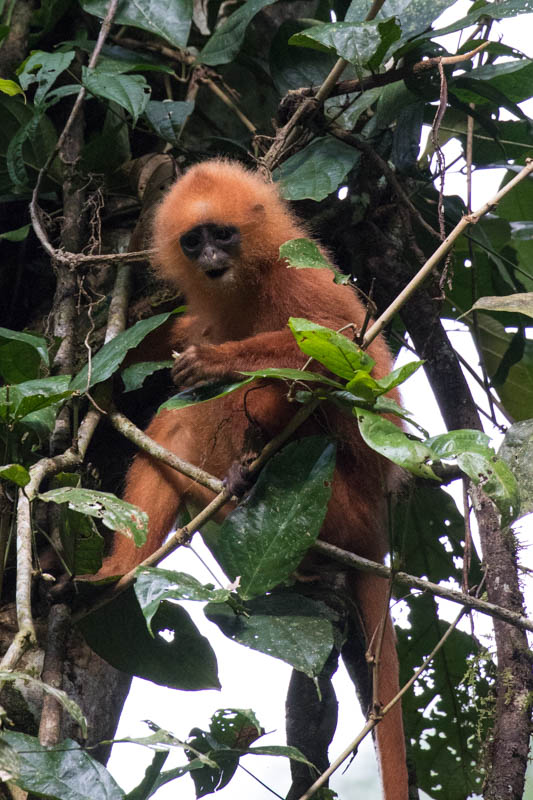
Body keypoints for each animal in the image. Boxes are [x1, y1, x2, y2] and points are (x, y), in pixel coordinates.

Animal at [101, 159, 408, 796]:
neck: (244, 285)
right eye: (194, 241)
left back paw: (243, 469)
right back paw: (113, 576)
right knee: (176, 422)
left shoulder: (304, 279)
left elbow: (350, 359)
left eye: (224, 234)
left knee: (282, 389)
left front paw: (217, 360)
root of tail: (376, 530)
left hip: (343, 502)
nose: (212, 258)